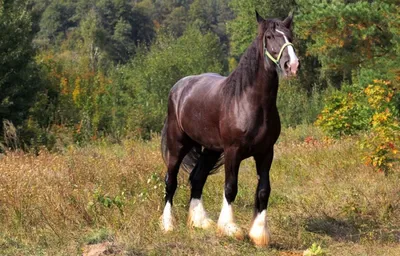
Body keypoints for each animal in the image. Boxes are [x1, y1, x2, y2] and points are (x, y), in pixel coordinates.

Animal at [161, 11, 298, 246]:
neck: (248, 101)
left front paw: (259, 233)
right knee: (171, 182)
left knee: (197, 178)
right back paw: (168, 225)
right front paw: (230, 228)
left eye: (290, 36)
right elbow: (230, 188)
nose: (292, 65)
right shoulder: (233, 152)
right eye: (270, 36)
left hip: (211, 150)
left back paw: (199, 221)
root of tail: (179, 88)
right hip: (177, 145)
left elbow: (264, 191)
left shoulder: (266, 153)